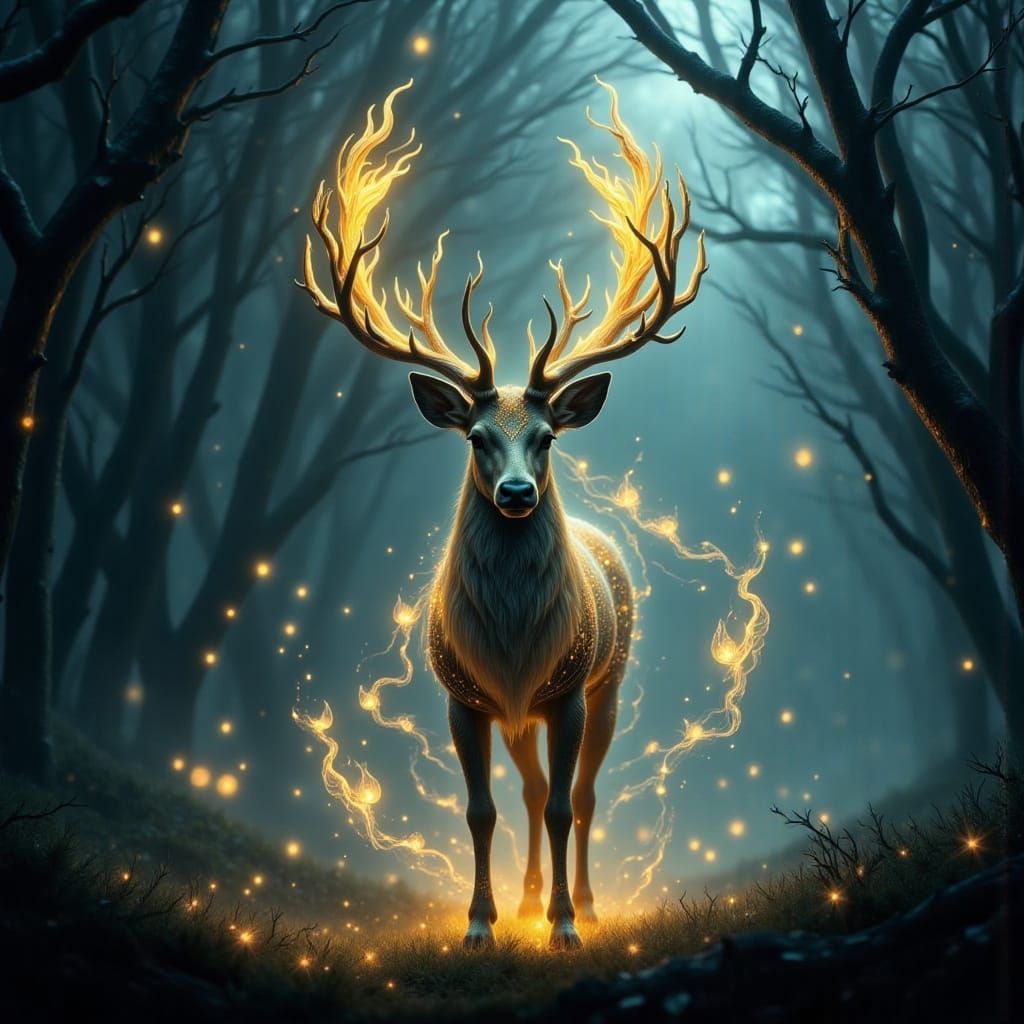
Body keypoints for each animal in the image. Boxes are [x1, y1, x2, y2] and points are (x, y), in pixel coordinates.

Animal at [299, 79, 707, 950]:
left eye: (547, 437)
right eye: (477, 437)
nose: (518, 493)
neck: (516, 645)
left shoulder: (568, 689)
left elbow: (562, 804)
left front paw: (565, 927)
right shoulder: (464, 695)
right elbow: (482, 809)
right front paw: (483, 923)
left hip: (610, 677)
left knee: (577, 797)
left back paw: (580, 901)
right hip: (518, 717)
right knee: (525, 791)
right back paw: (523, 900)